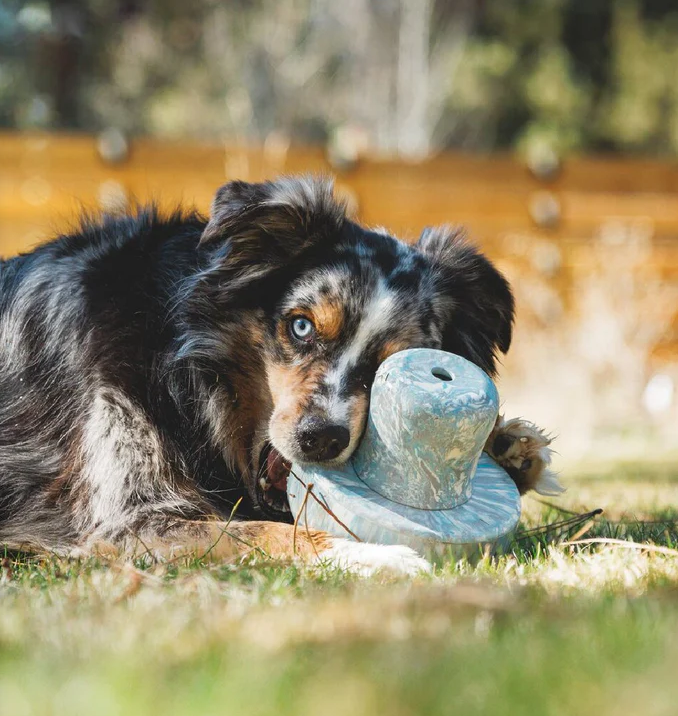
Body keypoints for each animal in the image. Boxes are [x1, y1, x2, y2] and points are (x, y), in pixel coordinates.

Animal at [0, 178, 564, 576]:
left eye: (389, 366)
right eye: (301, 326)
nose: (322, 438)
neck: (174, 360)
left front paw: (508, 449)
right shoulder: (129, 521)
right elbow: (260, 531)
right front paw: (374, 555)